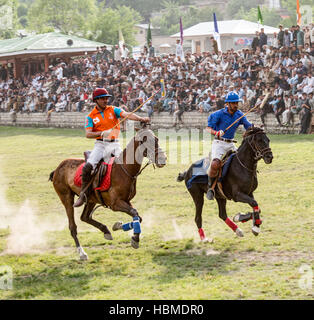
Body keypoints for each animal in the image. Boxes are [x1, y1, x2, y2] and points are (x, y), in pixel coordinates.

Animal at [49, 125, 167, 260]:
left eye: (157, 139)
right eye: (145, 141)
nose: (163, 158)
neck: (125, 169)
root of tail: (57, 168)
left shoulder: (126, 200)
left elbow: (138, 217)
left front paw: (119, 226)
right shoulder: (115, 203)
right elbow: (134, 213)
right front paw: (135, 239)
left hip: (91, 199)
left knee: (85, 217)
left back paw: (106, 231)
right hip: (66, 197)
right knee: (72, 226)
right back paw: (82, 253)